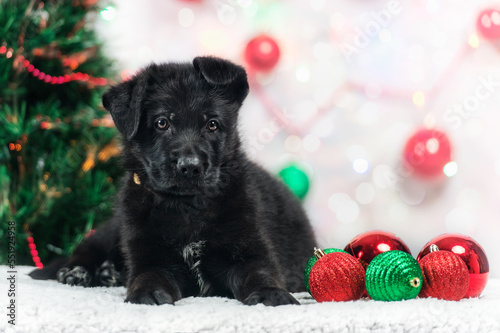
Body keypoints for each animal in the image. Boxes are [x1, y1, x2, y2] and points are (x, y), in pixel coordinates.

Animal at [32, 57, 316, 306]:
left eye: (212, 124)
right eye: (162, 123)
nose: (190, 167)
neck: (187, 207)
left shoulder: (249, 249)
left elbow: (260, 273)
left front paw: (271, 294)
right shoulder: (149, 255)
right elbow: (147, 276)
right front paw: (146, 294)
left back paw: (107, 274)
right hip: (115, 228)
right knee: (86, 247)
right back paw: (78, 271)